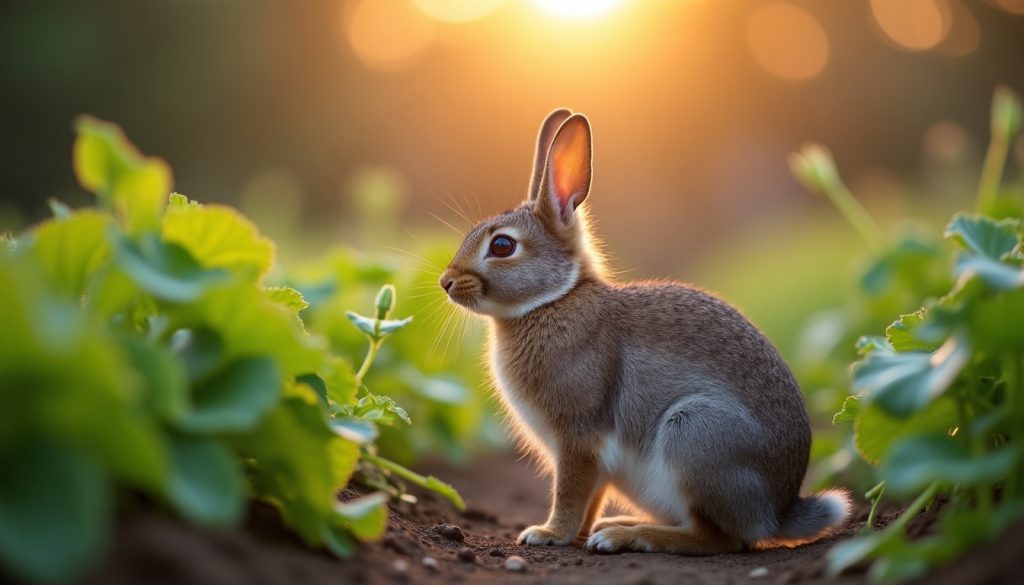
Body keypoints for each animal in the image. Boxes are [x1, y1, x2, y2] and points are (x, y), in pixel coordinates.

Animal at [438, 109, 851, 554]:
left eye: (501, 246)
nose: (446, 282)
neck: (553, 300)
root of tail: (779, 510)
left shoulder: (579, 438)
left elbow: (570, 492)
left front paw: (548, 534)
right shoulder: (591, 458)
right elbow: (590, 495)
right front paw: (575, 533)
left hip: (694, 436)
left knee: (720, 539)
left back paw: (625, 536)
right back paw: (615, 526)